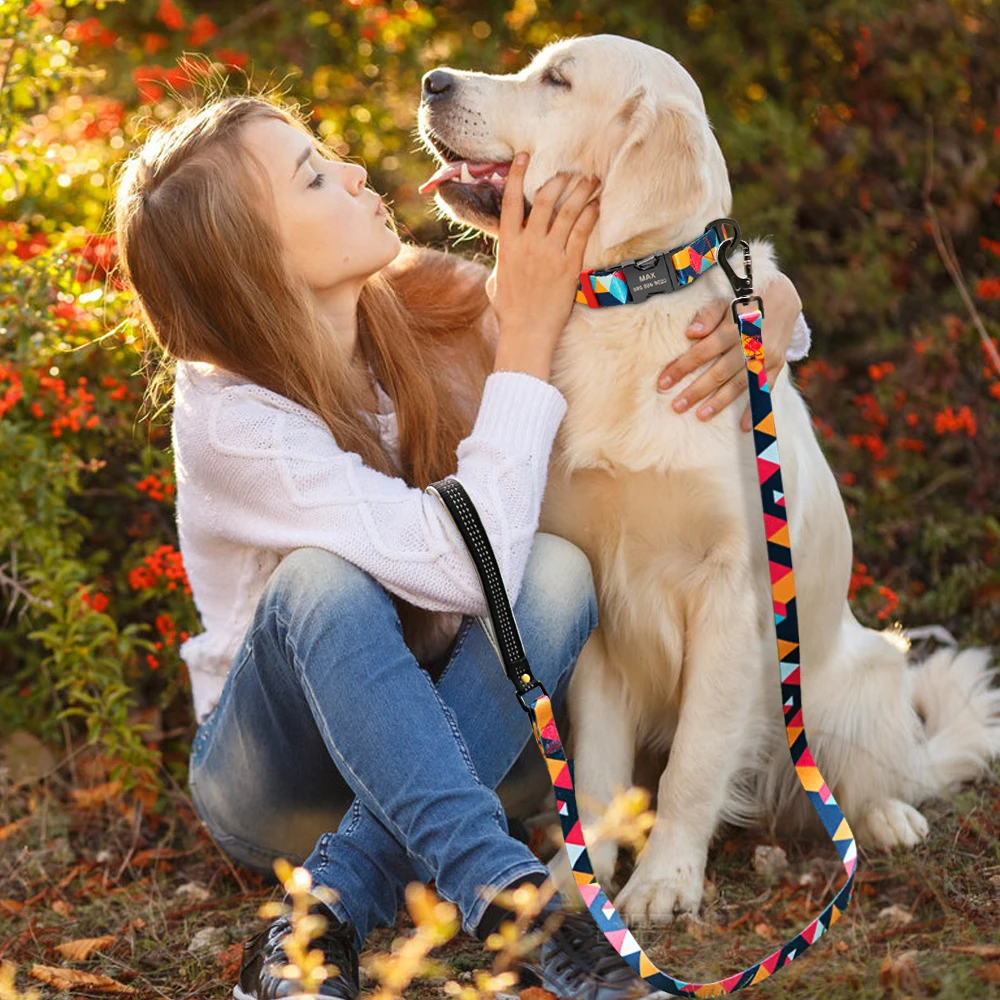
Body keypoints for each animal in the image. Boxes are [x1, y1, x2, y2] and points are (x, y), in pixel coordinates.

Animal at [416, 35, 1000, 924]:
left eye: (557, 80)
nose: (431, 80)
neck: (624, 305)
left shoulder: (732, 593)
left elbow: (695, 760)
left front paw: (665, 881)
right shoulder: (602, 598)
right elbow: (596, 772)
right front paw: (584, 882)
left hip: (857, 678)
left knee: (870, 777)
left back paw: (888, 818)